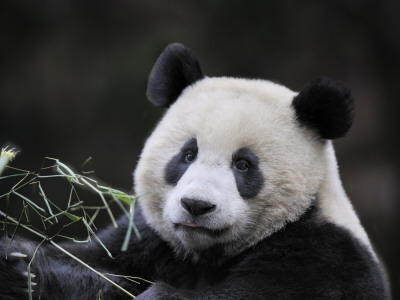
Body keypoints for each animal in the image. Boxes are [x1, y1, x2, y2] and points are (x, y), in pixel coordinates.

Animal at [0, 43, 390, 298]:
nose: (196, 206)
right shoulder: (145, 239)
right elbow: (90, 259)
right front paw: (19, 265)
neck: (204, 254)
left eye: (243, 165)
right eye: (188, 155)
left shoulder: (320, 260)